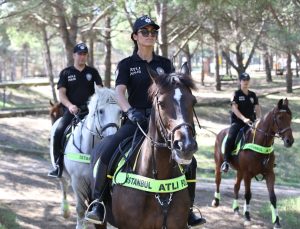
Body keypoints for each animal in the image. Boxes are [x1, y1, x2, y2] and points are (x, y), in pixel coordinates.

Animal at [49, 86, 120, 229]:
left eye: (120, 112)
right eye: (101, 111)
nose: (112, 136)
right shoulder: (78, 181)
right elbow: (81, 209)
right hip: (62, 174)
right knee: (63, 186)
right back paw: (65, 211)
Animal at [212, 98, 294, 227]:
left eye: (290, 117)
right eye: (280, 117)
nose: (289, 141)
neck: (261, 143)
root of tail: (220, 133)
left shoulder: (270, 174)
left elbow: (273, 197)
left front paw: (276, 221)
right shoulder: (247, 174)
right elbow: (248, 194)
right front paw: (247, 216)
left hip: (239, 171)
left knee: (236, 187)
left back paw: (236, 209)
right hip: (219, 164)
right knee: (218, 181)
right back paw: (216, 201)